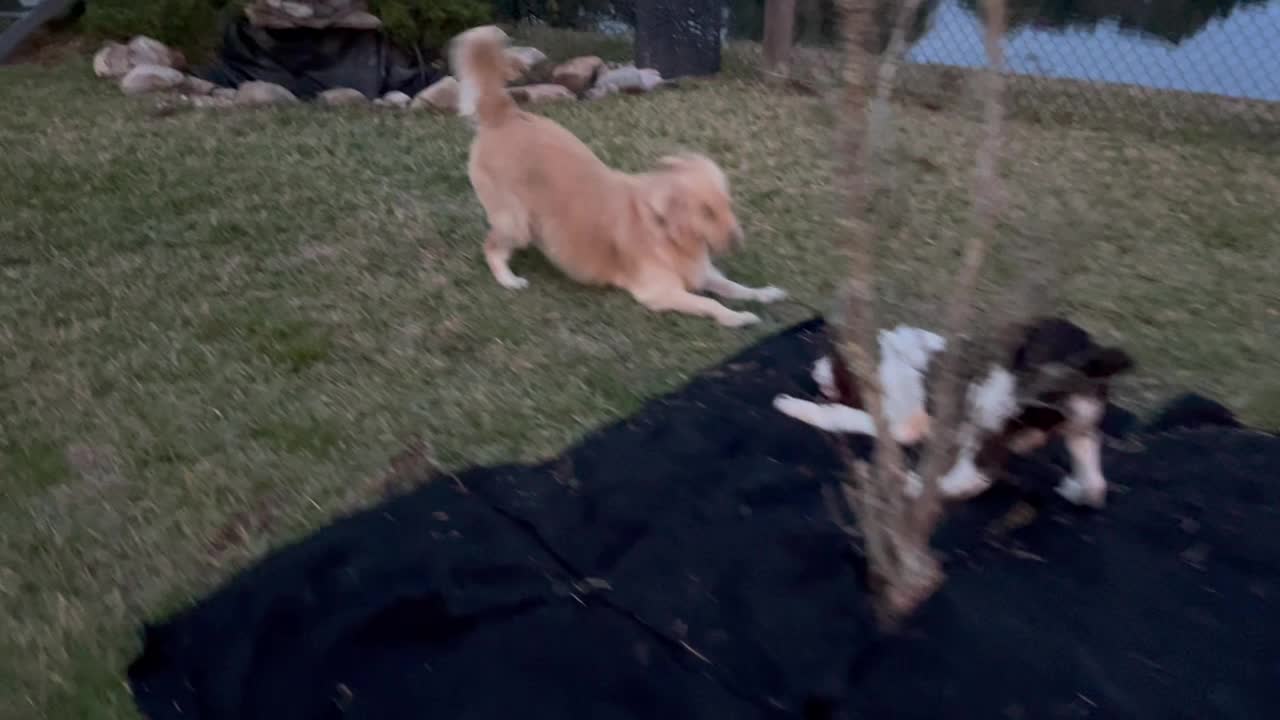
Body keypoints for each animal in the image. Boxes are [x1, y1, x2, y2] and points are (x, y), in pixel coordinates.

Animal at [773, 316, 1136, 507]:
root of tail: (1084, 363)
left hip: (992, 412)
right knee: (1096, 482)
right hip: (1082, 425)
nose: (813, 366)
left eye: (832, 355)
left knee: (973, 478)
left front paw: (790, 404)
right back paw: (1076, 489)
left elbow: (837, 413)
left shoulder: (899, 422)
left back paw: (911, 484)